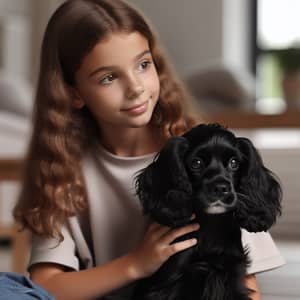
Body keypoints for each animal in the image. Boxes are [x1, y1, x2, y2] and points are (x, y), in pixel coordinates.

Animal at [134, 123, 282, 300]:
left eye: (234, 163)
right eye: (196, 163)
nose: (220, 188)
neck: (211, 224)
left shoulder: (231, 277)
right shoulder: (167, 282)